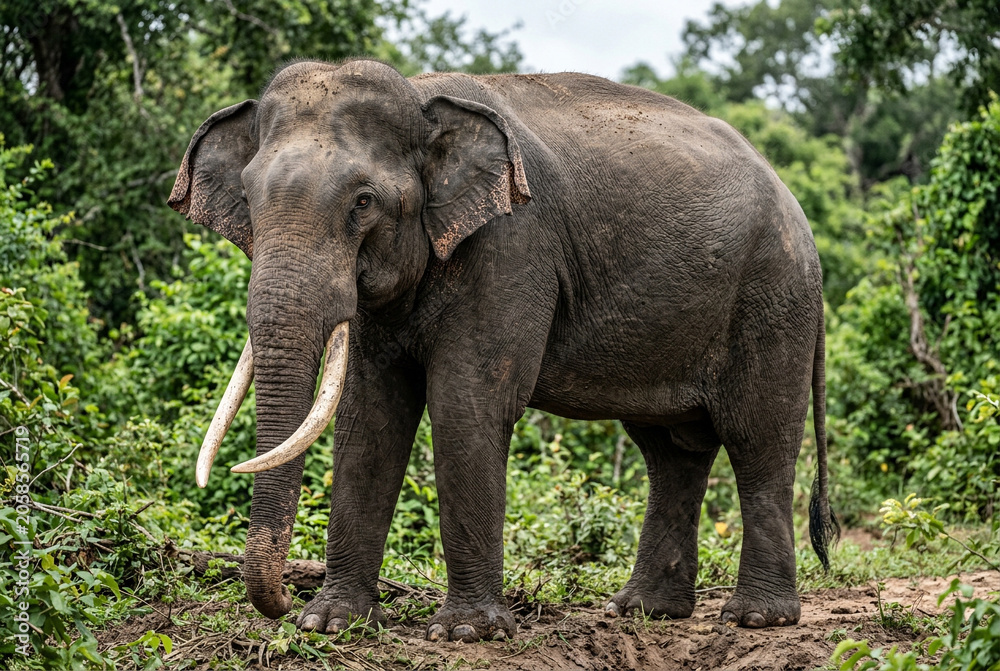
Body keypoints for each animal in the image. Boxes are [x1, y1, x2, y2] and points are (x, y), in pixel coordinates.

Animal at [167, 58, 838, 643]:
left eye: (363, 202)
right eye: (248, 198)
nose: (283, 602)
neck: (422, 95)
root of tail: (795, 204)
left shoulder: (512, 245)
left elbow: (466, 406)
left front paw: (468, 633)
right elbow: (369, 415)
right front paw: (332, 625)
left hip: (773, 299)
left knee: (757, 440)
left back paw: (757, 619)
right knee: (670, 451)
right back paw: (644, 612)